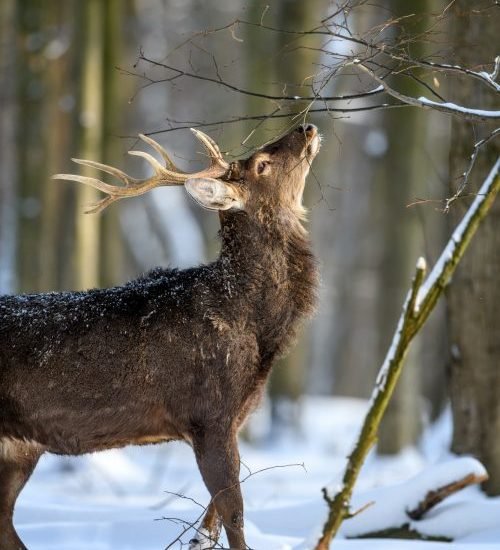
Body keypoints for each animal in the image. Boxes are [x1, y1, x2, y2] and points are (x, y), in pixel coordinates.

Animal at [0, 125, 320, 550]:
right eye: (261, 164)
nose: (306, 128)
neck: (256, 326)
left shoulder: (232, 419)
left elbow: (214, 515)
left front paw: (198, 539)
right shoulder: (208, 413)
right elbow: (234, 512)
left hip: (18, 449)